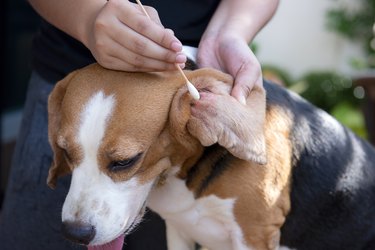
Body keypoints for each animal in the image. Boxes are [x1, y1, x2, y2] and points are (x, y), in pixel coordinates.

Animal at [47, 61, 375, 249]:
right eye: (65, 151)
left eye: (125, 162)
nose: (75, 233)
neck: (185, 176)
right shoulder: (178, 228)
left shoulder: (254, 234)